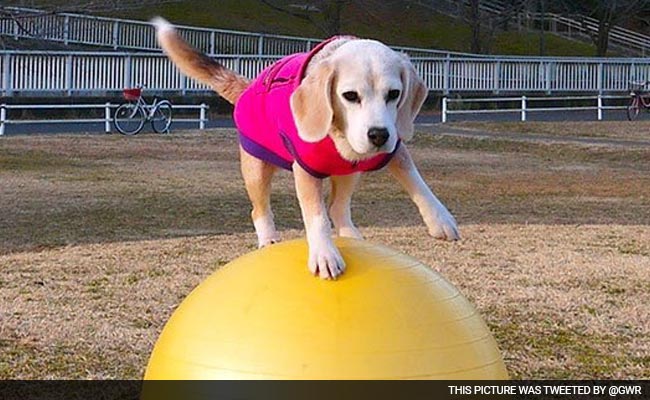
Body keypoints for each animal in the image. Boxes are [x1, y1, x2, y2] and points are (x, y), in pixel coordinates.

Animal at [153, 18, 458, 280]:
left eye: (394, 94)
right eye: (350, 96)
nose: (378, 135)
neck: (339, 136)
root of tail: (249, 86)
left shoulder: (395, 148)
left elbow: (418, 182)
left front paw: (440, 220)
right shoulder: (306, 170)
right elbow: (317, 216)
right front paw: (324, 255)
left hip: (349, 172)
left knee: (337, 207)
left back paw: (351, 235)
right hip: (256, 170)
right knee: (260, 210)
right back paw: (268, 239)